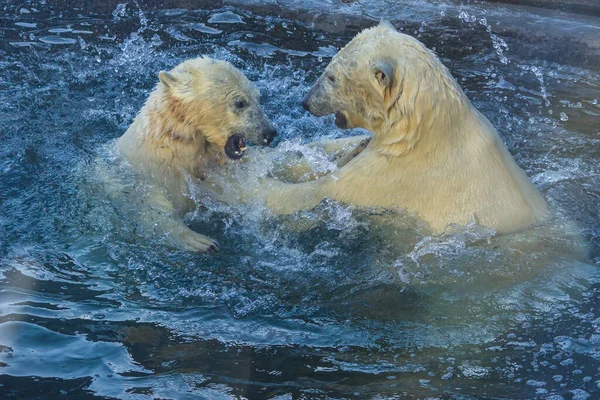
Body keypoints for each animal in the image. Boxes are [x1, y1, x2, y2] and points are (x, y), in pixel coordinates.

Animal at [264, 21, 552, 234]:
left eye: (332, 76)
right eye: (328, 66)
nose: (306, 102)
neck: (425, 132)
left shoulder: (395, 177)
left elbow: (313, 194)